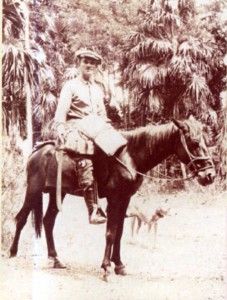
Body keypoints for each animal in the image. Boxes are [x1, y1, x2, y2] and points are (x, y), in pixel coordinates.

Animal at [9, 116, 215, 278]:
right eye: (194, 143)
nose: (210, 175)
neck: (130, 156)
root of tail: (36, 152)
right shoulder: (114, 199)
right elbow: (110, 232)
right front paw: (106, 267)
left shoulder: (125, 199)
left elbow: (120, 233)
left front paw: (119, 265)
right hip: (33, 191)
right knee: (21, 218)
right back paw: (12, 253)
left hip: (57, 193)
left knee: (48, 221)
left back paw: (55, 259)